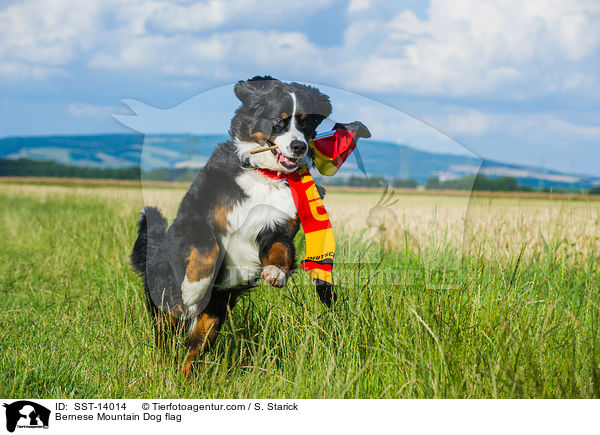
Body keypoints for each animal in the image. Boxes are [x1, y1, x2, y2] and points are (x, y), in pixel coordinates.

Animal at [132, 76, 336, 376]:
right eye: (278, 121)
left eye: (306, 124)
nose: (299, 146)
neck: (264, 177)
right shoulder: (196, 218)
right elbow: (208, 247)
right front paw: (195, 287)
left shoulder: (279, 227)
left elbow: (281, 250)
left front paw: (275, 273)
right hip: (168, 299)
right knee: (166, 336)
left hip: (212, 318)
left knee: (192, 353)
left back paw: (184, 378)